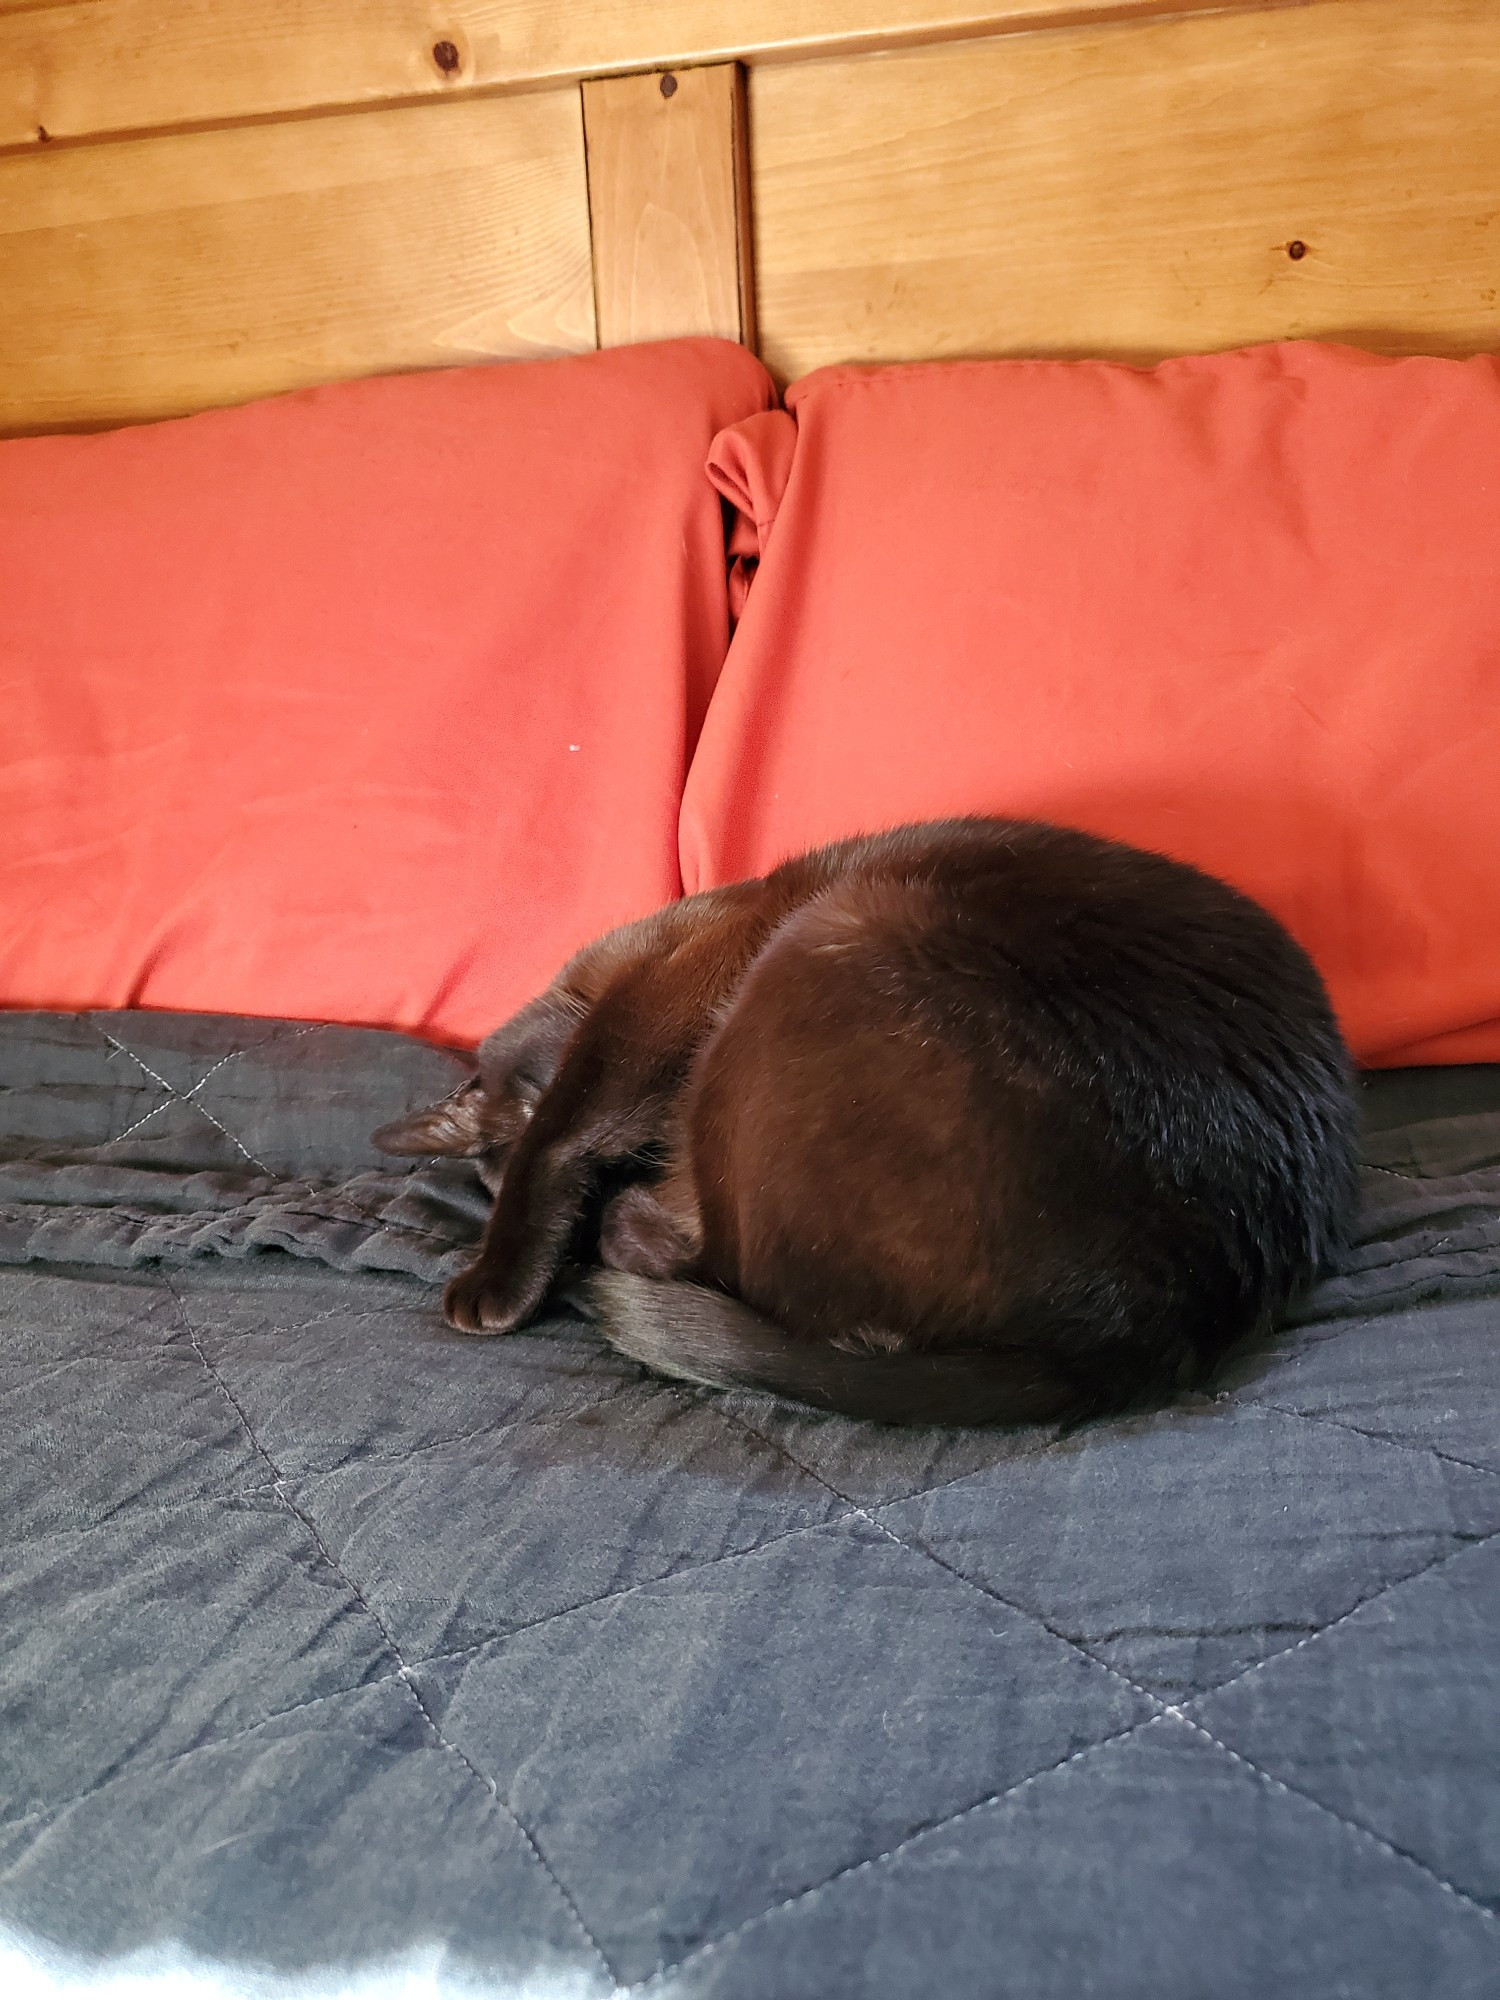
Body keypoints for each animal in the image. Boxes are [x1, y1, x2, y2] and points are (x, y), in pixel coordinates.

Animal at [376, 820, 1360, 1432]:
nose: (615, 1187)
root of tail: (1179, 1310)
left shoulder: (655, 1003)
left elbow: (563, 1128)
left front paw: (494, 1284)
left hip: (824, 938)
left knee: (724, 1261)